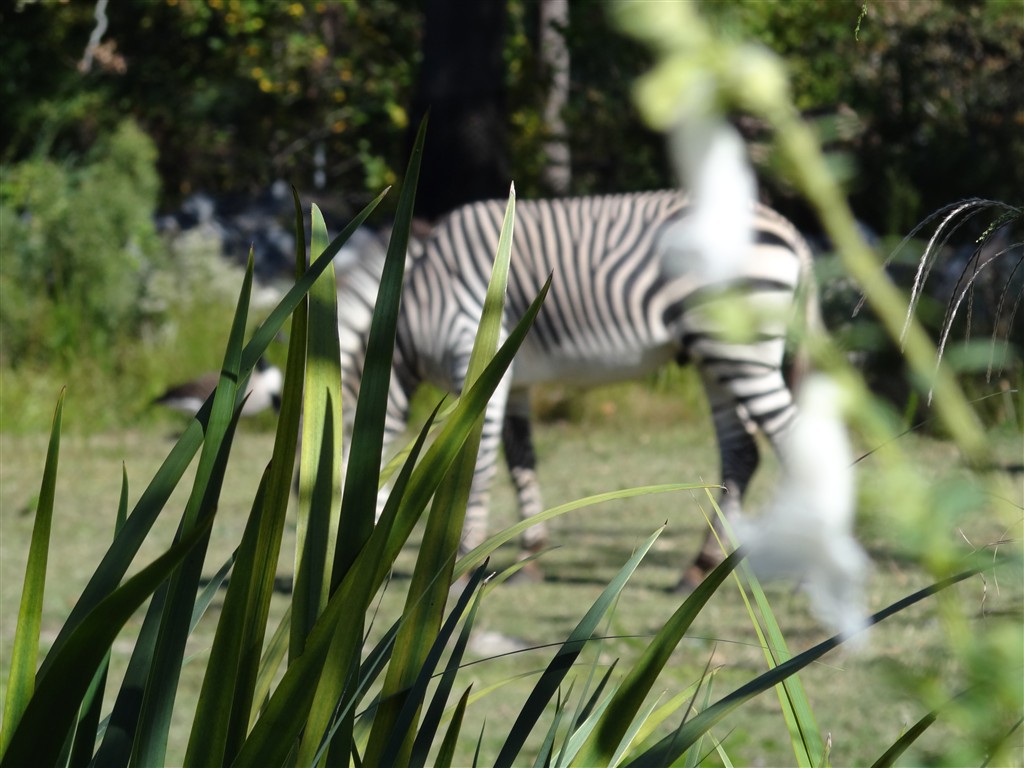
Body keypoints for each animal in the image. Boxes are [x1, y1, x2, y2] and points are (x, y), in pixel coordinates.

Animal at [335, 190, 820, 590]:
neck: (411, 310)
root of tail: (789, 228)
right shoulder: (512, 379)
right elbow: (520, 461)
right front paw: (529, 557)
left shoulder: (472, 349)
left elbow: (476, 464)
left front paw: (454, 570)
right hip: (714, 356)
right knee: (742, 451)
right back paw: (704, 569)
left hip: (738, 348)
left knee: (793, 444)